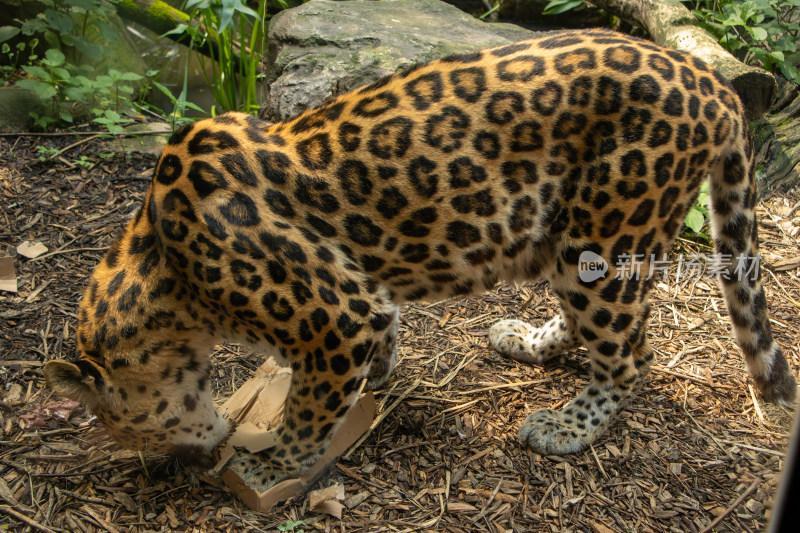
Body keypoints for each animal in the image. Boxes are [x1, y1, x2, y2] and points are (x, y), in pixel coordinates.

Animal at [43, 28, 792, 486]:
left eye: (120, 422)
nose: (180, 460)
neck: (165, 272)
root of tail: (718, 82)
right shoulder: (361, 298)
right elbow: (374, 341)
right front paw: (378, 374)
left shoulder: (333, 314)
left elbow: (309, 408)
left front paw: (270, 465)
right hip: (571, 238)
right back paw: (526, 338)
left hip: (607, 233)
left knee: (630, 350)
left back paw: (565, 425)